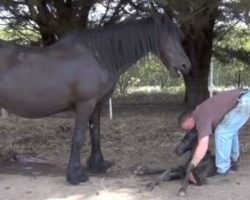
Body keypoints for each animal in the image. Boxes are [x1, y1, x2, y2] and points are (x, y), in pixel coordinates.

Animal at [0, 14, 190, 185]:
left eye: (180, 37)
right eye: (167, 37)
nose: (185, 66)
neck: (98, 56)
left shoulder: (97, 104)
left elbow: (96, 134)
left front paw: (98, 165)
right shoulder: (85, 104)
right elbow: (79, 137)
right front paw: (75, 175)